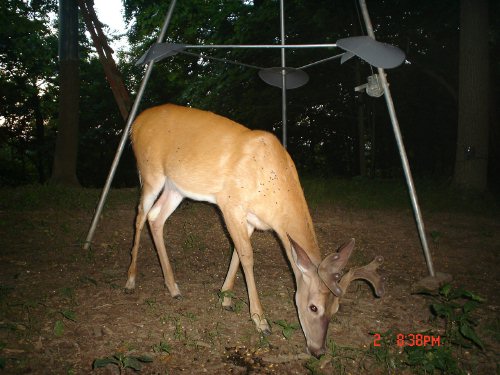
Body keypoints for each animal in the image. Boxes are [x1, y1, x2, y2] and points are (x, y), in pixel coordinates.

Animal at [126, 103, 386, 358]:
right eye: (314, 307)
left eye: (336, 308)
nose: (318, 351)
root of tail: (136, 124)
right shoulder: (229, 203)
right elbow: (248, 257)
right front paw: (261, 321)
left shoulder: (249, 219)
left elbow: (237, 254)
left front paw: (225, 299)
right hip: (150, 173)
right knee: (140, 216)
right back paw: (130, 280)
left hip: (176, 187)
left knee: (156, 218)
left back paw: (173, 288)